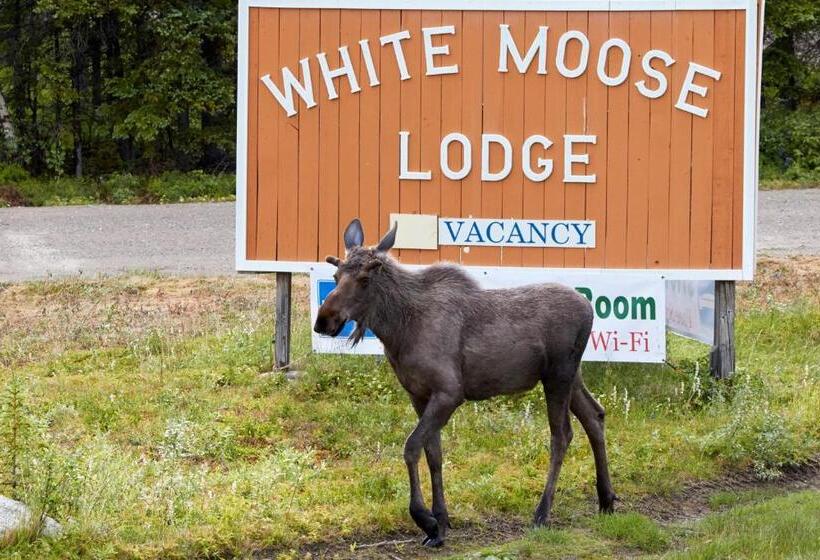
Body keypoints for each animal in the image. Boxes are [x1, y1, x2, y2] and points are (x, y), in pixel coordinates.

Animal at [313, 219, 617, 547]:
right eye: (336, 275)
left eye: (365, 278)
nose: (323, 321)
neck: (398, 330)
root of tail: (589, 308)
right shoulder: (419, 395)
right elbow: (433, 453)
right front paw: (441, 522)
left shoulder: (449, 392)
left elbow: (411, 447)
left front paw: (425, 519)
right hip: (570, 376)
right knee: (595, 415)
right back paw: (606, 498)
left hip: (558, 375)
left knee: (561, 435)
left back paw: (542, 513)